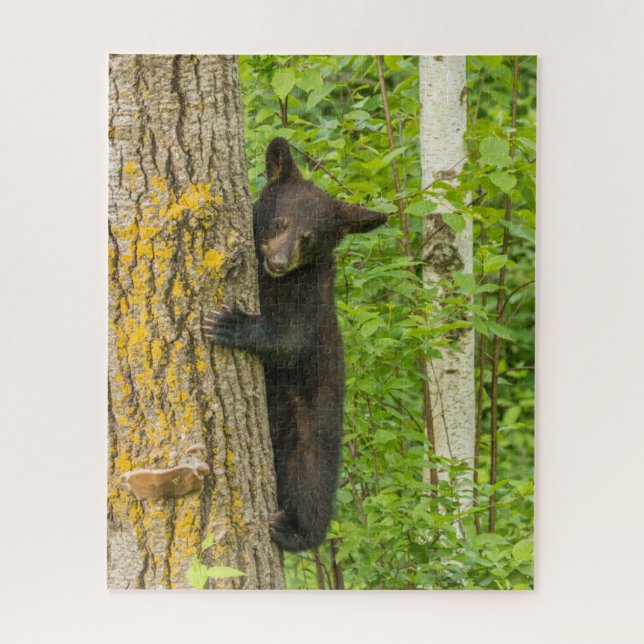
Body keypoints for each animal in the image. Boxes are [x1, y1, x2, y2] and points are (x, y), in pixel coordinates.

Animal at [202, 137, 386, 552]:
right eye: (281, 222)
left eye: (309, 238)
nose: (279, 261)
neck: (275, 283)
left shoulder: (312, 300)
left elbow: (290, 342)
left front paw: (231, 323)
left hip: (311, 433)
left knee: (310, 485)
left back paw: (294, 530)